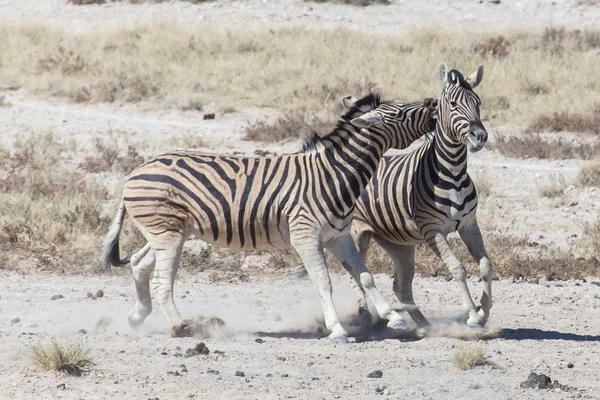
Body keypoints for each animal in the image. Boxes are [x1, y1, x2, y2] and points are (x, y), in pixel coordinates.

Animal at [98, 92, 436, 342]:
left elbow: (365, 276)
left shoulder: (338, 237)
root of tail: (135, 171)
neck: (333, 175)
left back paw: (137, 316)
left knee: (139, 264)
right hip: (166, 233)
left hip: (168, 232)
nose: (433, 103)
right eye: (401, 112)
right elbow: (323, 283)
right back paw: (181, 327)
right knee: (160, 282)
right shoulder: (305, 236)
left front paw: (394, 318)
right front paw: (338, 330)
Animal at [350, 62, 490, 332]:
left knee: (401, 286)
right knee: (356, 276)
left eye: (478, 102)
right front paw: (473, 315)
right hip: (357, 234)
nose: (479, 136)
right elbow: (457, 268)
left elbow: (486, 265)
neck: (454, 173)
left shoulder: (469, 224)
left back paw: (423, 326)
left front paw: (485, 309)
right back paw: (364, 319)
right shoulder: (432, 229)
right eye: (454, 104)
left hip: (400, 245)